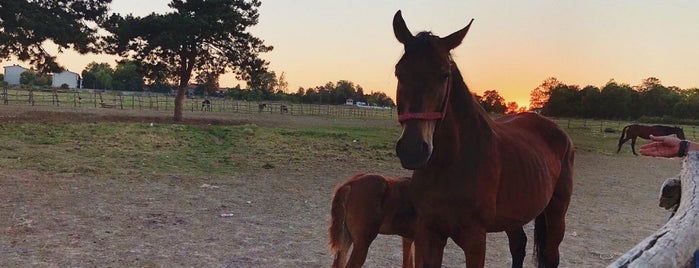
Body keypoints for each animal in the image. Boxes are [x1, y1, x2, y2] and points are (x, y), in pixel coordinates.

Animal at [394, 11, 576, 268]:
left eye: (444, 74)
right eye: (399, 72)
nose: (413, 149)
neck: (450, 163)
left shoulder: (475, 240)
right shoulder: (429, 234)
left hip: (556, 213)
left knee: (551, 257)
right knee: (518, 245)